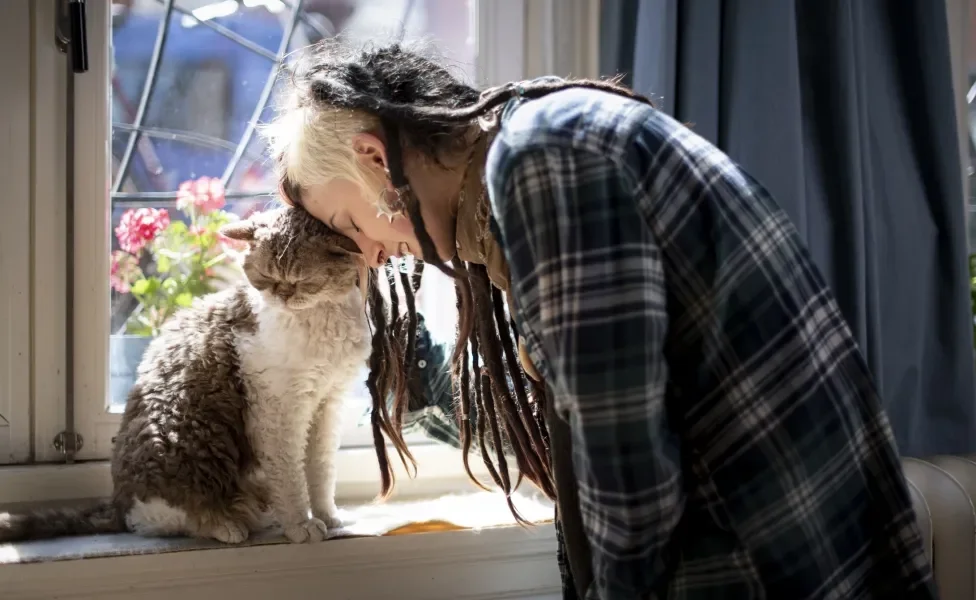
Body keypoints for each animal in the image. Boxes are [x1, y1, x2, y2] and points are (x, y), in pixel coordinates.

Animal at [0, 205, 370, 544]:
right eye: (265, 277)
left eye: (302, 281)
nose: (282, 295)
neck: (322, 318)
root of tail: (117, 501)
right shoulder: (280, 410)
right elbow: (291, 477)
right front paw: (299, 525)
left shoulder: (328, 403)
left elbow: (321, 471)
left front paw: (329, 517)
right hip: (191, 442)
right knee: (171, 517)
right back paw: (227, 525)